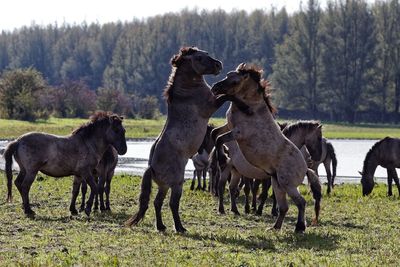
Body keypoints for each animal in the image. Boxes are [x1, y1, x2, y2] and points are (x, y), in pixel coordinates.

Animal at [123, 47, 252, 233]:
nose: (218, 64)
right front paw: (245, 106)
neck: (187, 91)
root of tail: (151, 168)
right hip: (177, 184)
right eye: (199, 58)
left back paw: (161, 226)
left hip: (164, 186)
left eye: (206, 53)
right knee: (172, 203)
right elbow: (227, 97)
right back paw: (179, 228)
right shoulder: (210, 106)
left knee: (157, 202)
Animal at [212, 62, 322, 232]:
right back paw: (275, 227)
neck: (252, 108)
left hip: (287, 185)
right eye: (227, 75)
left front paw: (222, 158)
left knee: (300, 202)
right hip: (277, 184)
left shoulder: (238, 133)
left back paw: (299, 227)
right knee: (284, 207)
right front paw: (222, 157)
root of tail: (306, 168)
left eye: (235, 81)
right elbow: (215, 135)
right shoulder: (229, 128)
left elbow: (219, 139)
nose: (215, 88)